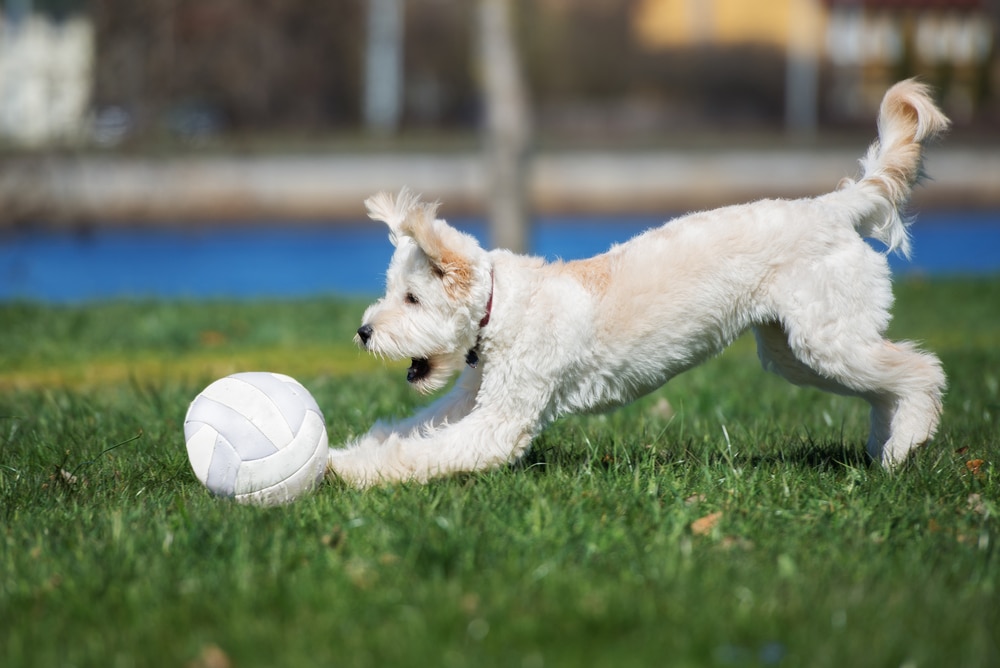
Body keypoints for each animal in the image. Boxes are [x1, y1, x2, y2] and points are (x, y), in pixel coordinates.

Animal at [332, 81, 948, 488]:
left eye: (412, 298)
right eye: (391, 292)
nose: (363, 332)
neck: (500, 305)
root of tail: (833, 207)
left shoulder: (501, 417)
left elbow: (422, 452)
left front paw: (350, 473)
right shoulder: (468, 399)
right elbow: (410, 430)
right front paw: (345, 455)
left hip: (825, 340)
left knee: (921, 370)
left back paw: (905, 445)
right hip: (796, 351)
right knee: (884, 384)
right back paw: (886, 448)